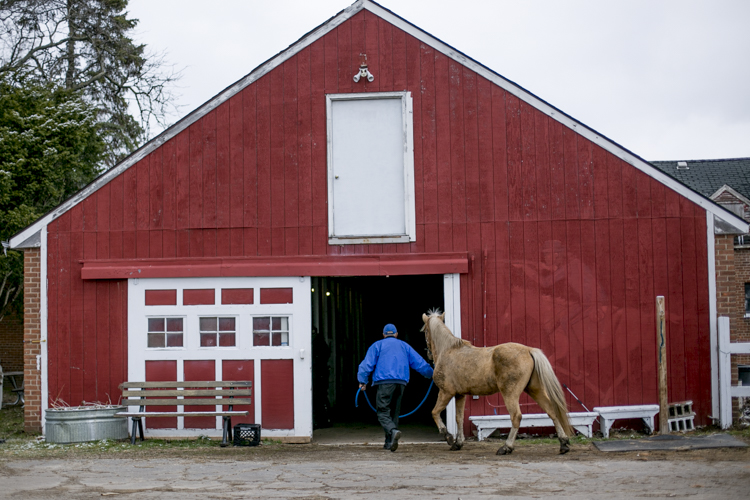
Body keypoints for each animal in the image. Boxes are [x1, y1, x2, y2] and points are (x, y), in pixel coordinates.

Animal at [424, 310, 576, 456]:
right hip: (535, 390)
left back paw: (506, 447)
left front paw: (448, 437)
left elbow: (434, 412)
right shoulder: (460, 395)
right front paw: (458, 443)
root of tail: (528, 350)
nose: (428, 354)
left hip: (510, 393)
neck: (449, 351)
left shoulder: (446, 393)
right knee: (552, 411)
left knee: (516, 417)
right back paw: (563, 443)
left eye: (424, 330)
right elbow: (459, 418)